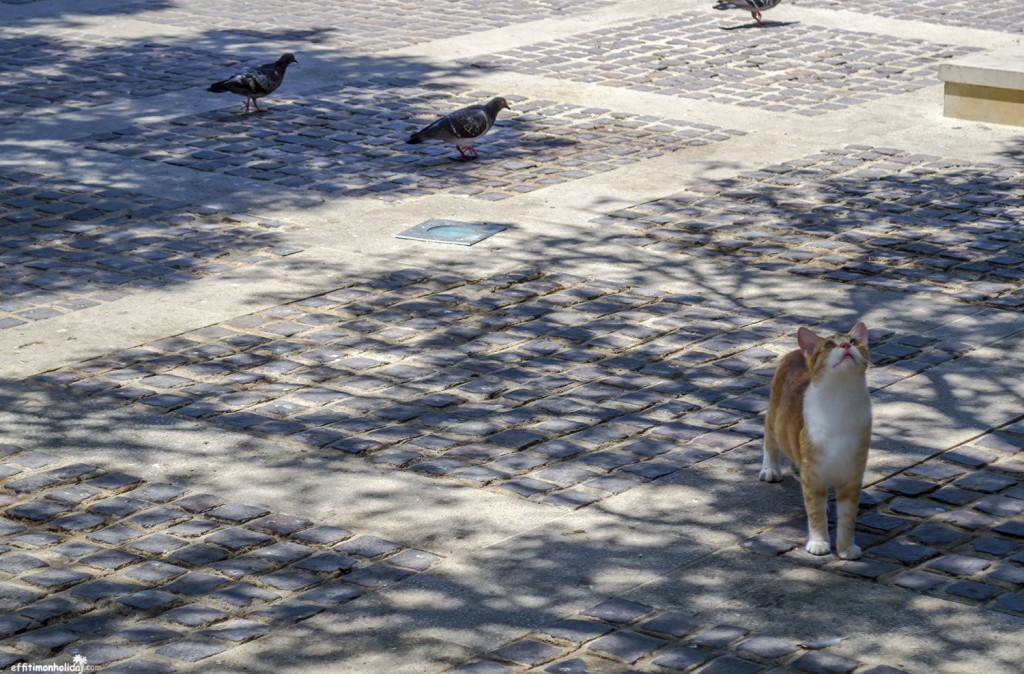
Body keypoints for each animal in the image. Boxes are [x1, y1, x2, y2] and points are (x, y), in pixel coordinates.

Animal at [761, 319, 872, 557]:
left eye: (854, 341)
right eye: (829, 345)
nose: (846, 346)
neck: (841, 399)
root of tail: (796, 352)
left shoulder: (852, 475)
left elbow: (847, 518)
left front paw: (846, 547)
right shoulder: (812, 472)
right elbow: (815, 512)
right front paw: (819, 542)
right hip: (774, 417)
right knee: (770, 441)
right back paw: (770, 468)